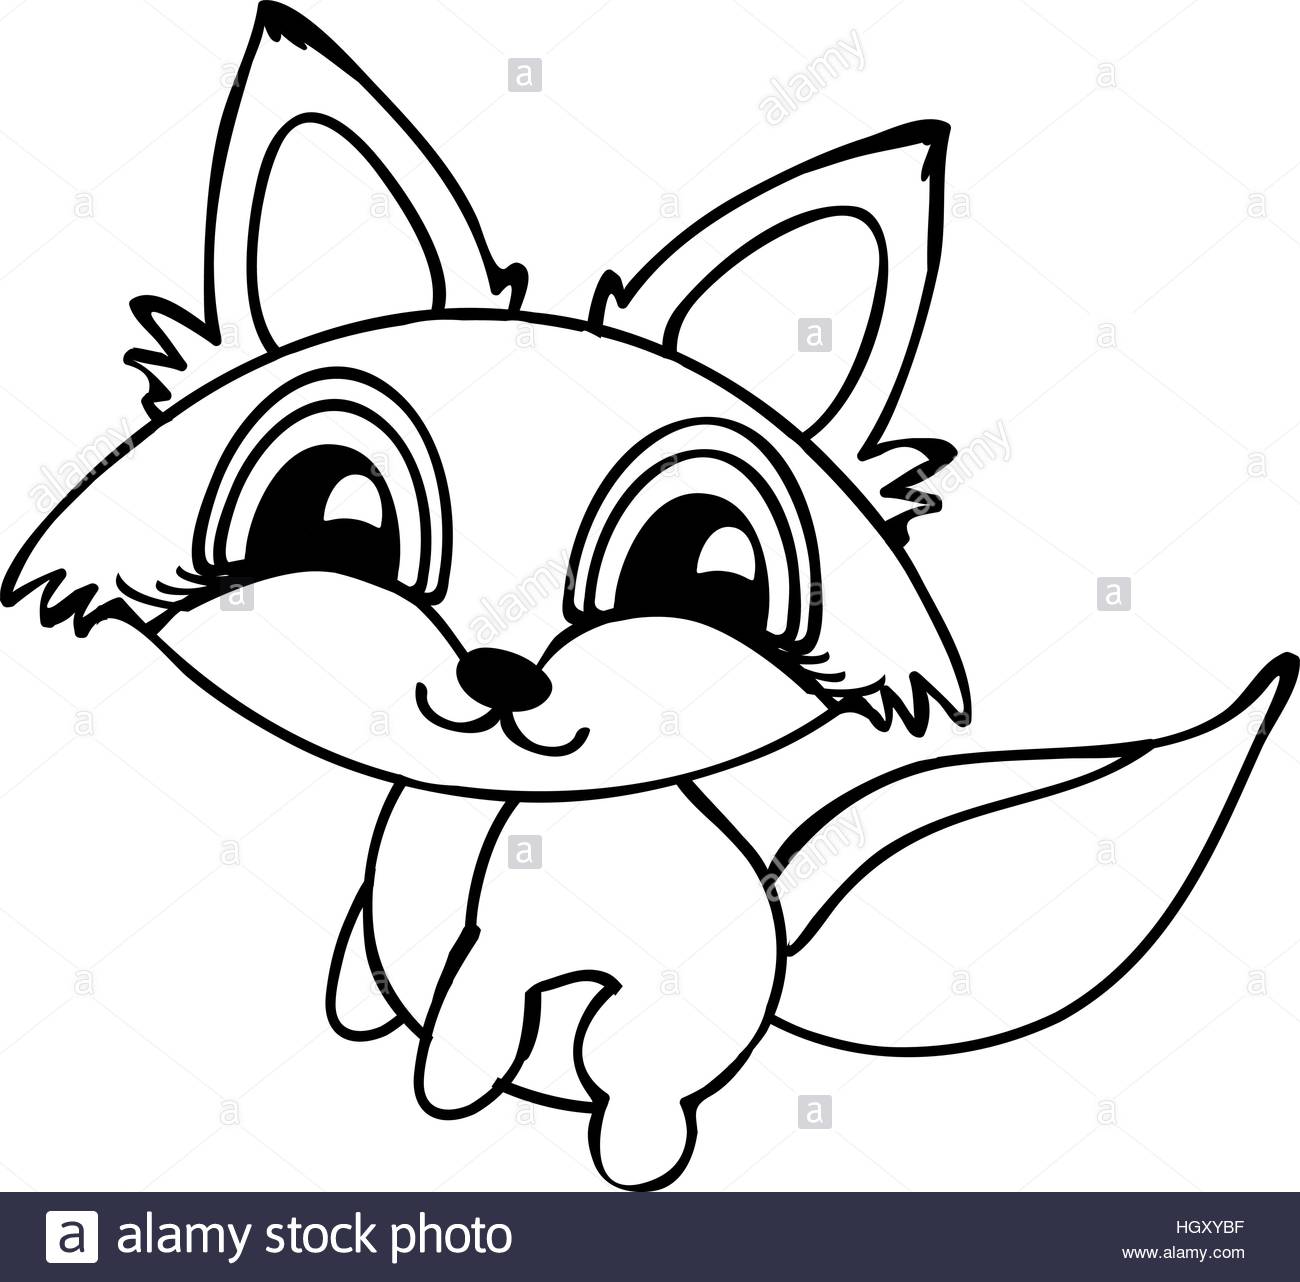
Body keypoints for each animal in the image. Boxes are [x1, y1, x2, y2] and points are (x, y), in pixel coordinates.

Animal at [3, 3, 1294, 1190]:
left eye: (703, 569)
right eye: (332, 515)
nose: (498, 670)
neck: (488, 817)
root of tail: (777, 959)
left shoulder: (568, 953)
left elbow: (494, 983)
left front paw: (448, 1075)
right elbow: (389, 939)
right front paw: (367, 1000)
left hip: (657, 1032)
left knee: (641, 1086)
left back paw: (630, 1147)